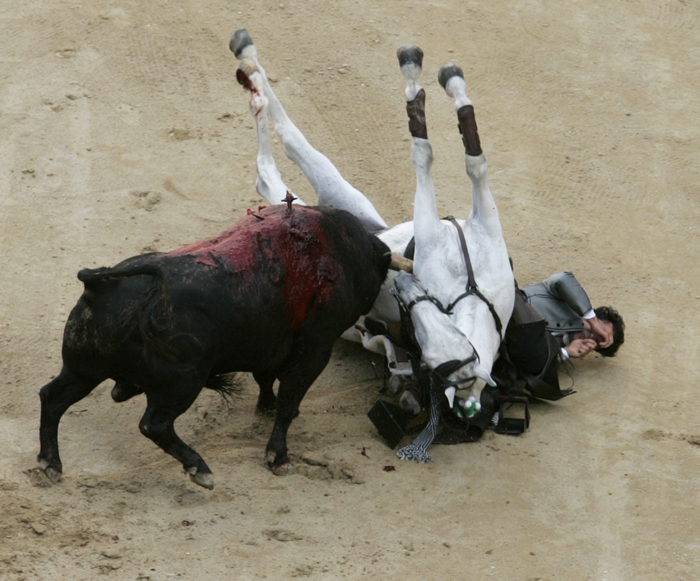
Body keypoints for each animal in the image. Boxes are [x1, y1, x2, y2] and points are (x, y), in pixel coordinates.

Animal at [38, 206, 392, 488]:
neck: (340, 250)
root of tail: (108, 280)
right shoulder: (316, 349)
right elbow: (289, 400)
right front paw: (279, 457)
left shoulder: (268, 348)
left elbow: (267, 381)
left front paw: (265, 406)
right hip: (182, 382)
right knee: (154, 424)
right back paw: (200, 470)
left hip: (83, 368)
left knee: (52, 397)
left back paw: (49, 463)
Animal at [230, 30, 516, 458]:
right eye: (428, 344)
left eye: (431, 355)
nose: (405, 283)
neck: (471, 294)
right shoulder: (463, 226)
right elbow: (454, 156)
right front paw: (427, 80)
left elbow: (444, 155)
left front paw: (429, 84)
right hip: (343, 200)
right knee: (289, 152)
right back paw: (249, 64)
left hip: (332, 206)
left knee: (273, 173)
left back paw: (252, 80)